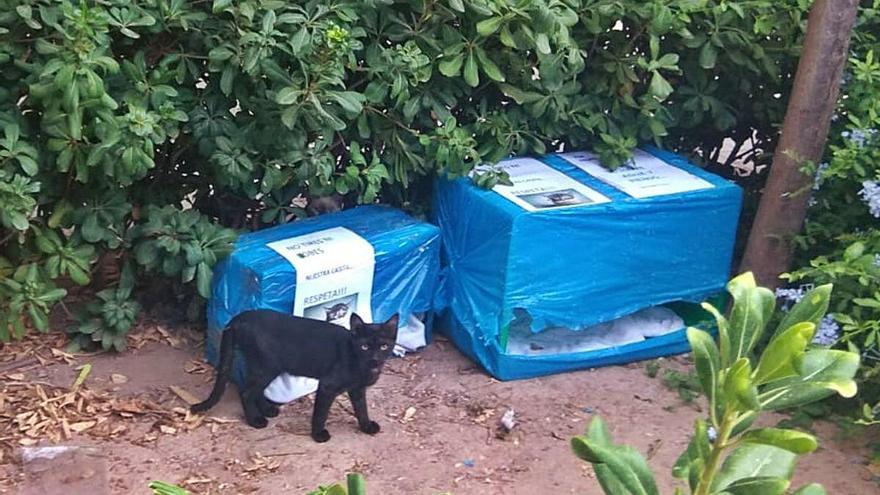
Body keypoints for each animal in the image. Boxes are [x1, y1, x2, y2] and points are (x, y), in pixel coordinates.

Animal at [194, 312, 400, 444]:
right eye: (364, 347)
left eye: (383, 346)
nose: (375, 359)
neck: (361, 364)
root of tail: (239, 317)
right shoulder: (327, 386)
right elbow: (321, 413)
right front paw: (318, 434)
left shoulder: (357, 389)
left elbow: (361, 408)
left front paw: (366, 426)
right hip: (267, 366)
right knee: (246, 391)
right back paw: (255, 420)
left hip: (264, 367)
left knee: (254, 389)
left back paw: (268, 410)